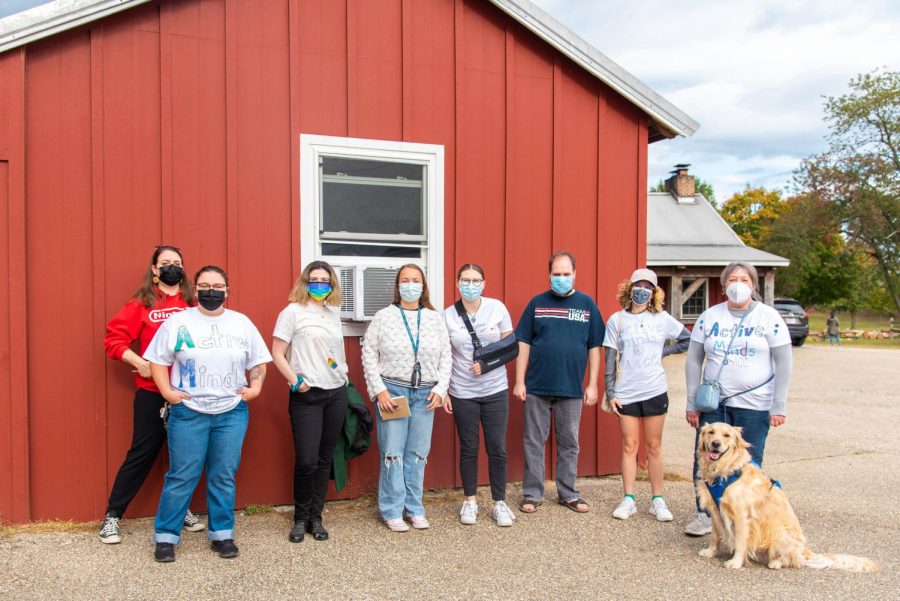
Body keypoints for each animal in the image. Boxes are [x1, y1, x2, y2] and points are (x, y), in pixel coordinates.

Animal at [696, 422, 880, 572]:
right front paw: (711, 552)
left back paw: (776, 563)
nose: (716, 444)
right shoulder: (715, 510)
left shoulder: (742, 515)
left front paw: (735, 562)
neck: (724, 470)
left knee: (794, 560)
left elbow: (741, 541)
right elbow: (714, 536)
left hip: (779, 532)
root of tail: (805, 549)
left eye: (727, 435)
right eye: (711, 432)